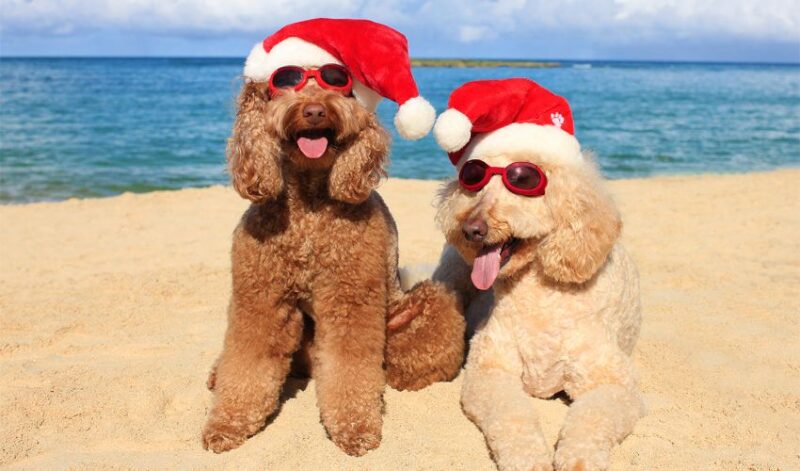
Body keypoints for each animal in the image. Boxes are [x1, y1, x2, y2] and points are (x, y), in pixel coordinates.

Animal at [202, 78, 462, 458]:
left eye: (337, 81)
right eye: (286, 81)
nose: (314, 111)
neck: (310, 204)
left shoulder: (348, 298)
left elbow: (349, 369)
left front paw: (355, 428)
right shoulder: (261, 297)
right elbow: (247, 361)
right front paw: (227, 424)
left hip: (428, 305)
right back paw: (217, 373)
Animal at [432, 77, 644, 471]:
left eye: (522, 179)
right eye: (473, 178)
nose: (469, 229)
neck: (539, 294)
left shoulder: (613, 383)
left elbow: (591, 421)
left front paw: (578, 459)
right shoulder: (490, 370)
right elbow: (511, 416)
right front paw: (527, 457)